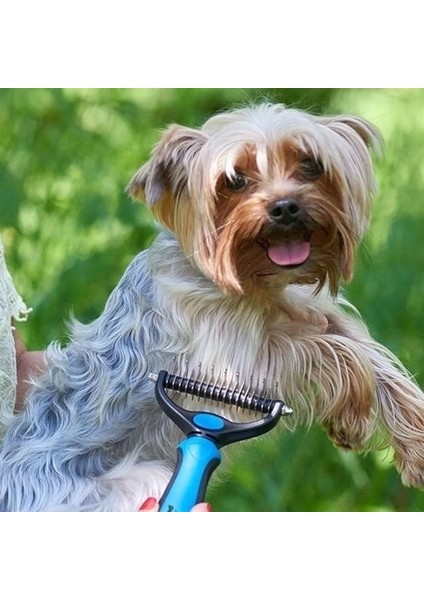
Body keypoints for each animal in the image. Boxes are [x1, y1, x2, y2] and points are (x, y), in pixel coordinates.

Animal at [0, 104, 424, 510]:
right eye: (234, 180)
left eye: (311, 165)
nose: (286, 207)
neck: (260, 285)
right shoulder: (234, 366)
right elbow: (337, 351)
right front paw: (353, 414)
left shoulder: (313, 310)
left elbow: (371, 354)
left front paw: (413, 442)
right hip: (135, 481)